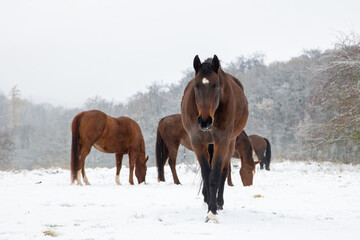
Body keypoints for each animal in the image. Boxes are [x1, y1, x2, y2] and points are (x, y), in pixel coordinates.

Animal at [181, 55, 249, 222]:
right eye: (196, 86)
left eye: (216, 86)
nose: (205, 121)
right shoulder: (198, 142)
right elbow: (206, 174)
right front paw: (208, 206)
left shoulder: (222, 141)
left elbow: (215, 175)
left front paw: (212, 212)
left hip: (230, 143)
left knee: (224, 172)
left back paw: (219, 203)